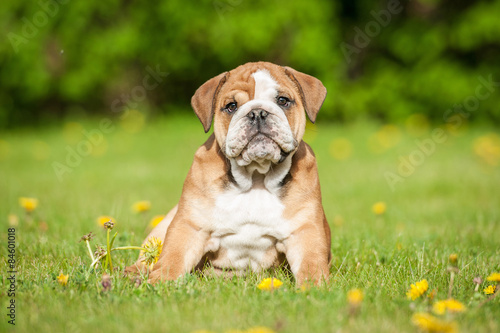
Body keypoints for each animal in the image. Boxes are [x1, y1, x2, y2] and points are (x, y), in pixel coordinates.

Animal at [131, 61, 330, 284]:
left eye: (283, 101)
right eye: (231, 106)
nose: (257, 113)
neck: (256, 178)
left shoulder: (305, 231)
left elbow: (312, 265)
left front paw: (315, 287)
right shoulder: (190, 226)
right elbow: (172, 258)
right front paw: (159, 283)